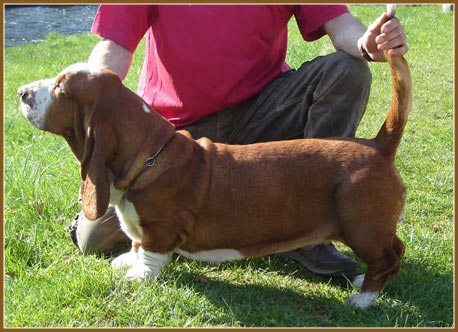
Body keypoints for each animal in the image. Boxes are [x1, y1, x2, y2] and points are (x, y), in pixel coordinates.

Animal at [17, 10, 412, 312]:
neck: (149, 154)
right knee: (396, 250)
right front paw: (126, 261)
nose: (21, 92)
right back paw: (362, 282)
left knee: (387, 258)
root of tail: (378, 145)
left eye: (62, 90)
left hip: (361, 226)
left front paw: (137, 276)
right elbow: (135, 243)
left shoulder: (160, 229)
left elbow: (150, 253)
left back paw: (362, 297)